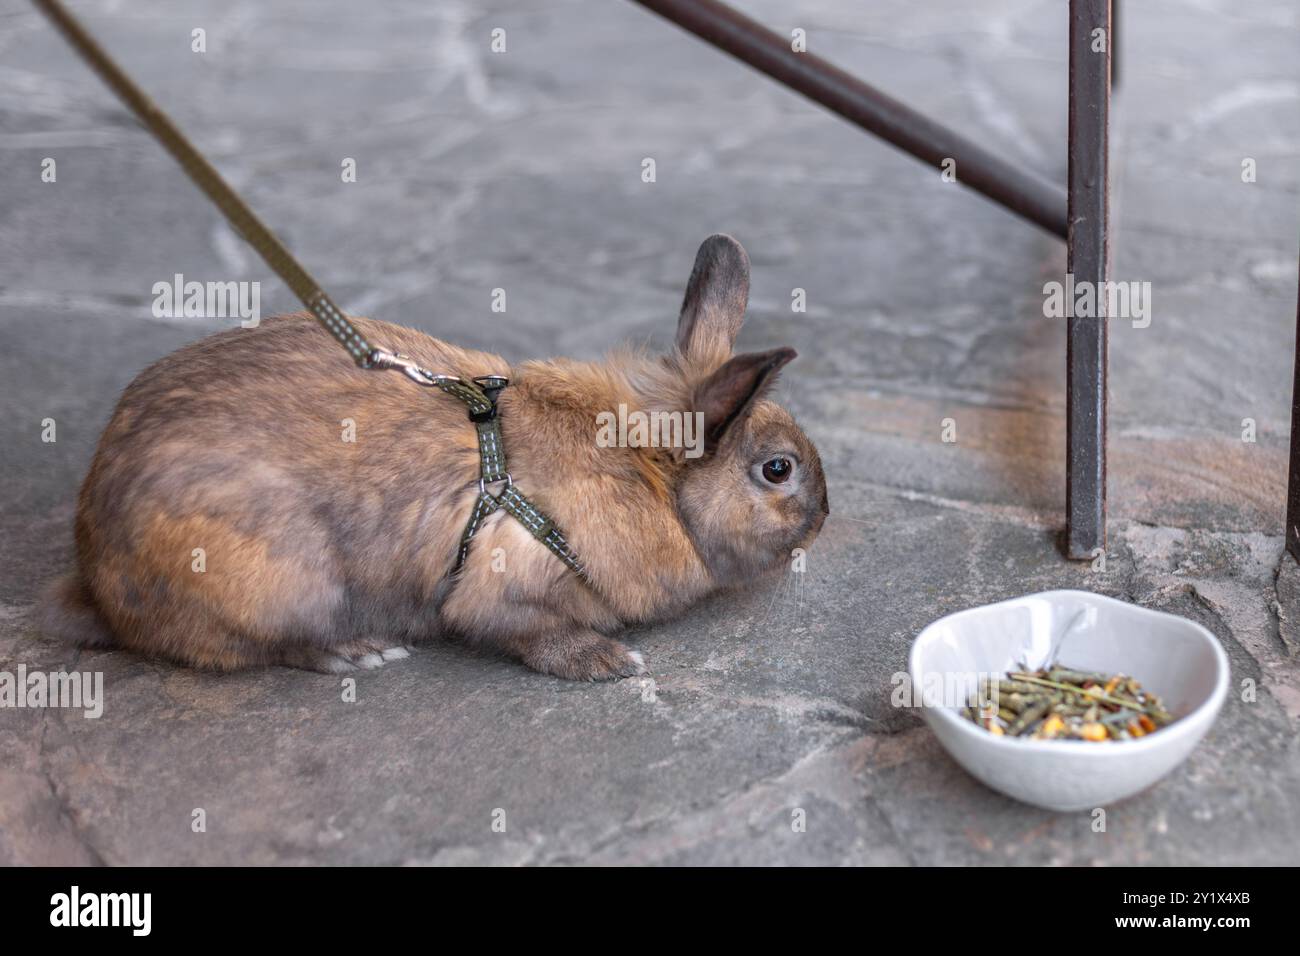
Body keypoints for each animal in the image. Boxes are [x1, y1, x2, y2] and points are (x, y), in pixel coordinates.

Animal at [37, 234, 828, 681]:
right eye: (778, 469)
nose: (824, 517)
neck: (646, 472)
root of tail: (95, 574)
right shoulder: (502, 587)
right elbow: (524, 632)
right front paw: (607, 663)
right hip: (282, 580)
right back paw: (355, 653)